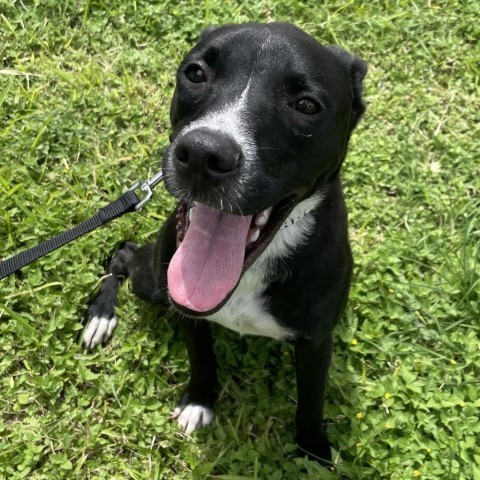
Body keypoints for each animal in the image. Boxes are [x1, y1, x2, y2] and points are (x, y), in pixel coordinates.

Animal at [82, 22, 368, 464]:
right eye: (196, 73)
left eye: (306, 105)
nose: (203, 154)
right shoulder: (186, 312)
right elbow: (202, 360)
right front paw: (199, 403)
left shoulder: (317, 341)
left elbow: (311, 399)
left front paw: (314, 450)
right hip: (153, 281)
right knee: (123, 255)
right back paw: (100, 316)